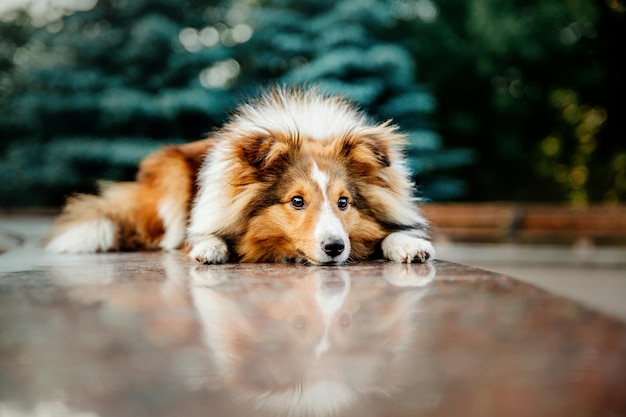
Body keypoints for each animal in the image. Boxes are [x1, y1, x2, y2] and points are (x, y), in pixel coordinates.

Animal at [45, 86, 434, 264]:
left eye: (344, 203)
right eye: (297, 201)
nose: (335, 248)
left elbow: (391, 234)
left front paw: (409, 245)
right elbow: (207, 236)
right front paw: (208, 247)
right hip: (172, 172)